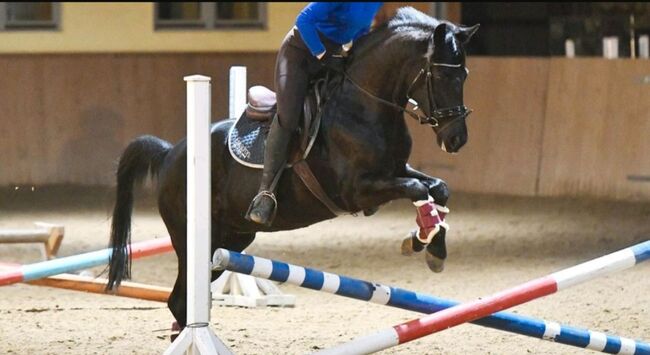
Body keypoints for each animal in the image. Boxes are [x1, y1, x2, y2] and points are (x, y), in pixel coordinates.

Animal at [106, 7, 478, 334]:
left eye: (464, 76)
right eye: (443, 75)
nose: (456, 139)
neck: (364, 105)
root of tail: (171, 152)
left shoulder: (396, 169)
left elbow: (438, 187)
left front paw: (430, 245)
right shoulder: (356, 191)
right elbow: (418, 189)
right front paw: (424, 240)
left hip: (231, 239)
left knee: (182, 301)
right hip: (191, 238)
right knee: (180, 301)